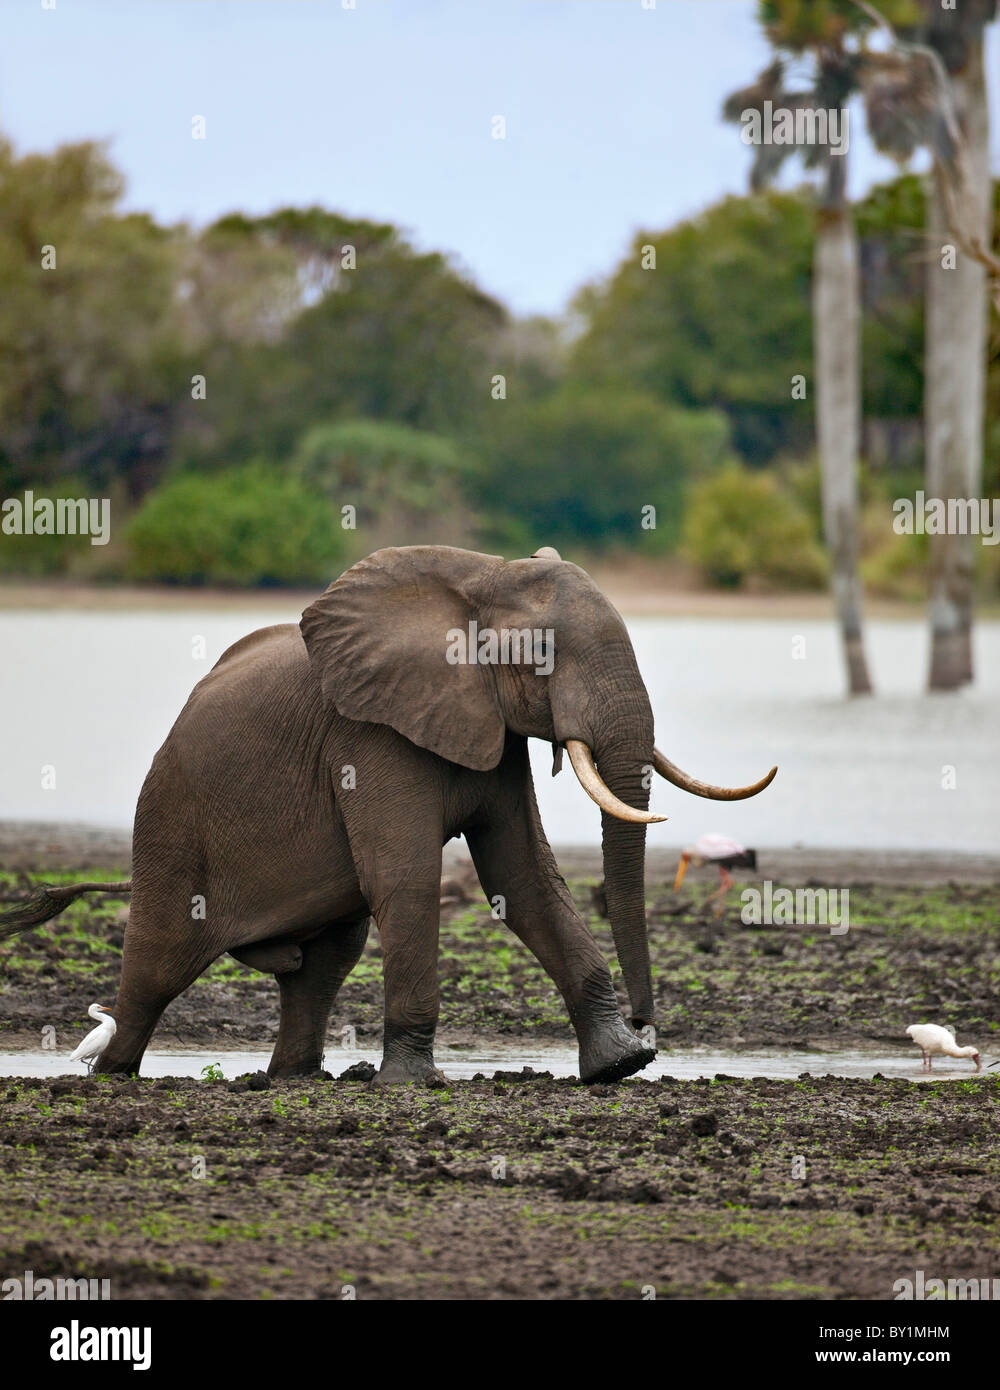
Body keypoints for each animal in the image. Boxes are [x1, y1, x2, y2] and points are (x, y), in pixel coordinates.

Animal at [0, 542, 778, 1084]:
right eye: (542, 654)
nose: (649, 1026)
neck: (484, 576)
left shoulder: (490, 730)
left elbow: (525, 879)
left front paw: (618, 1066)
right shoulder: (369, 735)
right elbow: (406, 880)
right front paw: (412, 1083)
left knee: (320, 965)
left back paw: (293, 1078)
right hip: (170, 819)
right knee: (157, 965)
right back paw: (109, 1072)